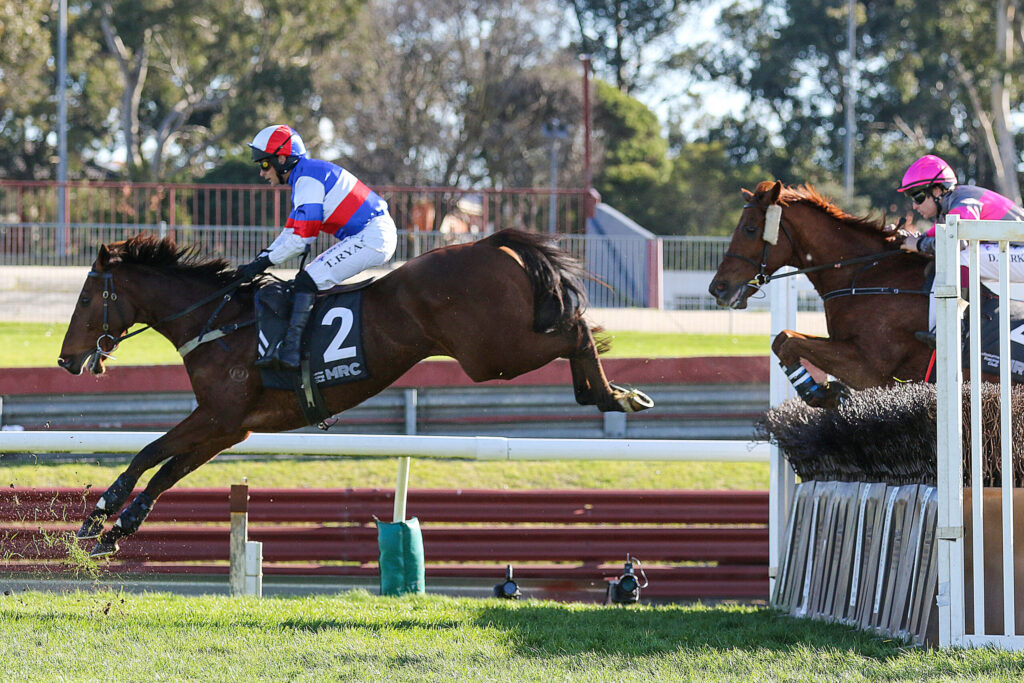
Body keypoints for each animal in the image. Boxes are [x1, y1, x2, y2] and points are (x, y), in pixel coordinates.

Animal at [58, 229, 653, 556]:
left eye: (85, 298)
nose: (65, 360)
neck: (218, 320)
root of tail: (489, 244)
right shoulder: (231, 426)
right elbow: (167, 470)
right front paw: (116, 528)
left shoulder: (218, 416)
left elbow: (149, 453)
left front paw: (96, 518)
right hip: (497, 350)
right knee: (573, 331)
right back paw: (609, 393)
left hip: (492, 355)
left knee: (576, 330)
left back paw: (613, 396)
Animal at [708, 180, 934, 409]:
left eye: (750, 229)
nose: (718, 287)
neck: (866, 275)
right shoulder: (840, 344)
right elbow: (782, 338)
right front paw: (825, 392)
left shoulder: (869, 368)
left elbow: (789, 343)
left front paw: (822, 393)